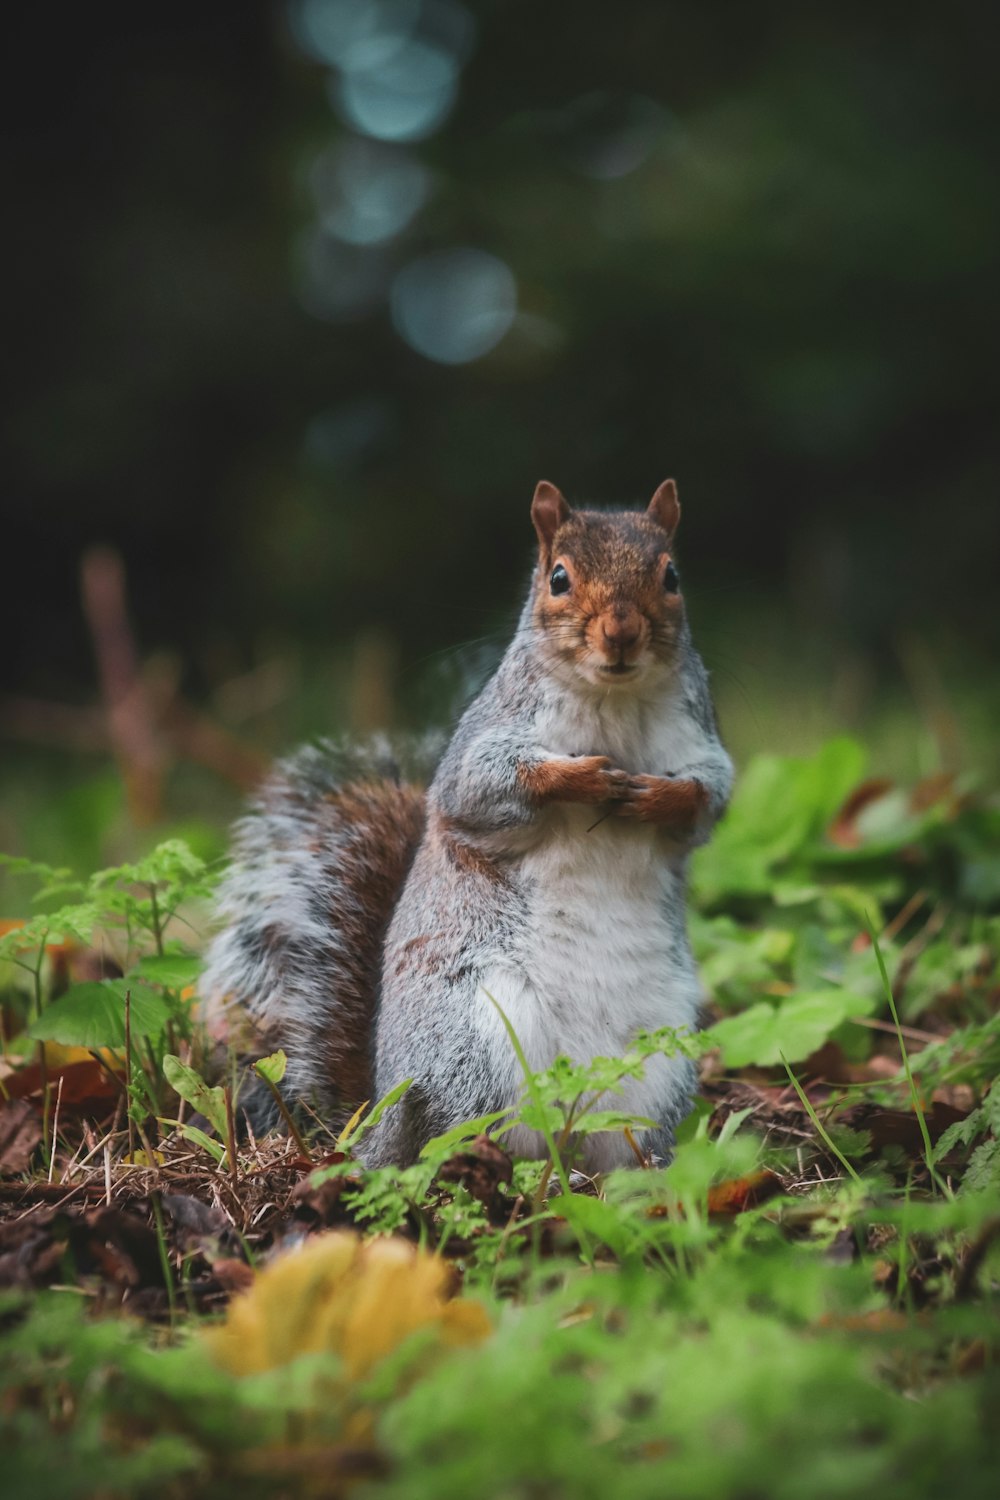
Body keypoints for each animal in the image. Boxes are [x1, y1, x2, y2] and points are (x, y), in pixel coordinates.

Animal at [205, 480, 734, 1170]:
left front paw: (658, 796)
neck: (613, 701)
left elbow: (708, 797)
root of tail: (378, 1117)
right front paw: (583, 780)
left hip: (659, 1058)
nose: (621, 632)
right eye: (558, 577)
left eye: (671, 576)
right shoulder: (486, 742)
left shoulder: (700, 740)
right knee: (451, 1129)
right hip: (475, 1036)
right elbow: (479, 790)